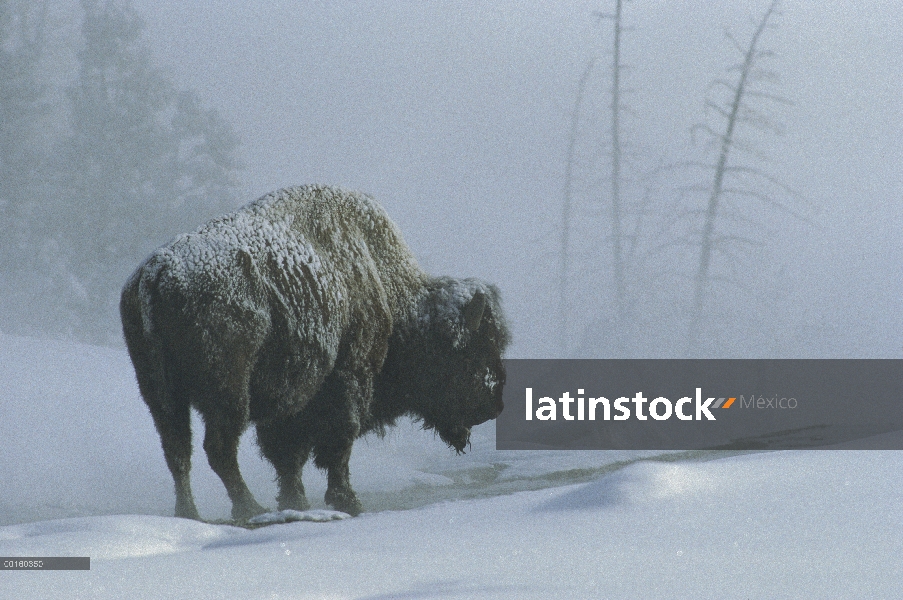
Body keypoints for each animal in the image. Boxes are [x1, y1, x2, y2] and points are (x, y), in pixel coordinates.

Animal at [120, 184, 508, 520]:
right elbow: (336, 445)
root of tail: (157, 271)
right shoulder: (348, 378)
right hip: (227, 393)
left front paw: (296, 502)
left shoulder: (287, 404)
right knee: (218, 448)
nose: (493, 404)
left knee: (177, 450)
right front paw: (347, 501)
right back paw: (249, 508)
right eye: (475, 348)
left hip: (161, 395)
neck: (383, 283)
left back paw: (190, 513)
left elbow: (288, 458)